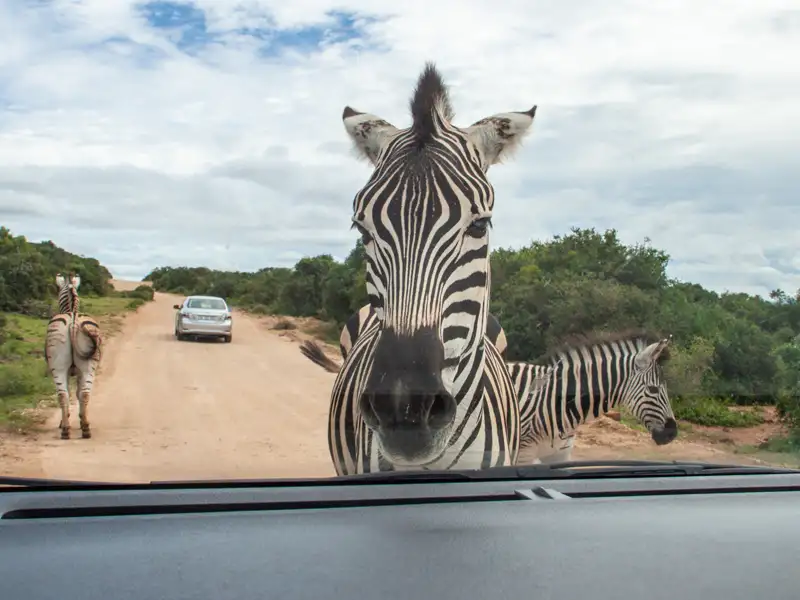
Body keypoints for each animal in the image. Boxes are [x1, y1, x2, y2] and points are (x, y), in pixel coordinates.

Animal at [44, 273, 103, 439]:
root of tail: (72, 320)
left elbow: (71, 393)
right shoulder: (78, 371)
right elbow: (77, 393)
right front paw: (81, 419)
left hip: (57, 366)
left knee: (62, 395)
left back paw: (65, 429)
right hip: (88, 366)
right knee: (85, 394)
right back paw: (86, 428)